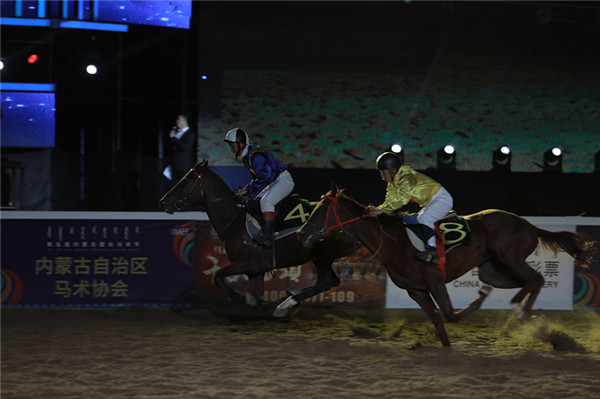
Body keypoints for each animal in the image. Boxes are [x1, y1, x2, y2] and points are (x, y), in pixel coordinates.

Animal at [158, 161, 360, 318]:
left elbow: (218, 276)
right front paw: (275, 299)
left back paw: (287, 303)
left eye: (185, 181)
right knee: (330, 282)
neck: (234, 219)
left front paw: (242, 297)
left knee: (324, 283)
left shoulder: (247, 263)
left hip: (324, 255)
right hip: (321, 257)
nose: (162, 201)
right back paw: (290, 298)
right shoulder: (256, 272)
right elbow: (259, 303)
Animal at [298, 184, 592, 346]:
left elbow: (449, 315)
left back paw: (522, 316)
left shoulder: (434, 279)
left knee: (535, 279)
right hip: (493, 270)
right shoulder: (415, 290)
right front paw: (447, 348)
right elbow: (438, 321)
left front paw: (474, 305)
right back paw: (518, 313)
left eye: (321, 211)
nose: (301, 233)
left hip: (510, 257)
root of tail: (529, 225)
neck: (395, 242)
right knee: (528, 282)